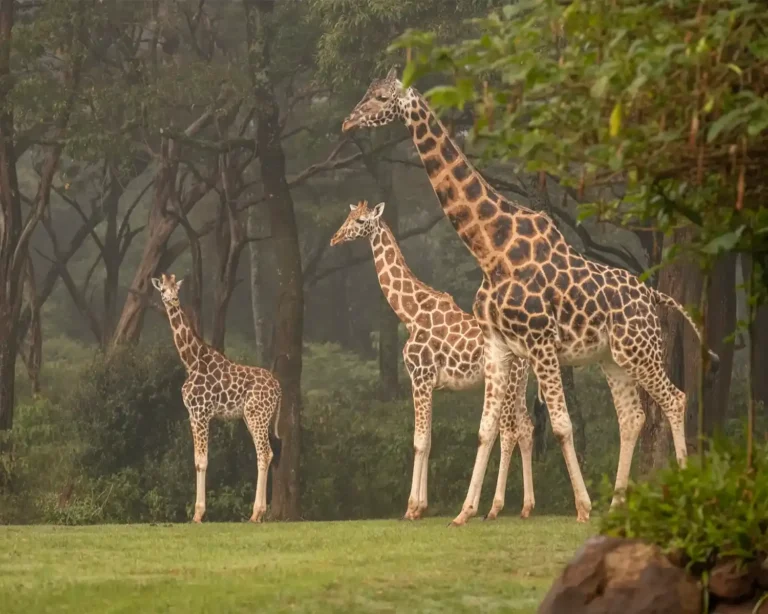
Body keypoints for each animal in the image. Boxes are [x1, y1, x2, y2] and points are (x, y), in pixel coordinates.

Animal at [151, 273, 282, 523]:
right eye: (162, 290)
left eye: (176, 290)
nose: (172, 300)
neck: (191, 361)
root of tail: (279, 389)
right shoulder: (193, 416)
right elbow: (197, 460)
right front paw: (197, 512)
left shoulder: (201, 413)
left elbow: (202, 461)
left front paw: (198, 514)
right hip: (252, 418)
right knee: (266, 453)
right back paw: (259, 513)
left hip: (257, 416)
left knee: (264, 453)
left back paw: (255, 514)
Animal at [330, 200, 534, 520]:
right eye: (348, 216)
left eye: (361, 220)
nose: (335, 238)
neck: (409, 313)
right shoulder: (430, 383)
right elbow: (429, 441)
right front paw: (422, 506)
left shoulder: (420, 377)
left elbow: (419, 441)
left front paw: (413, 508)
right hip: (521, 383)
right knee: (526, 428)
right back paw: (526, 507)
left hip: (509, 383)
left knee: (510, 431)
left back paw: (493, 508)